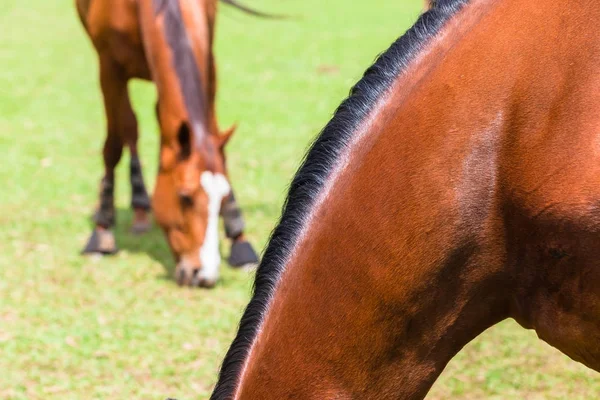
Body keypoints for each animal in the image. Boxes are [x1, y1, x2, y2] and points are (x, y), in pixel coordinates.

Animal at [76, 0, 266, 286]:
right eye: (185, 197)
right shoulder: (109, 67)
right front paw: (101, 233)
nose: (204, 275)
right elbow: (114, 145)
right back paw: (139, 208)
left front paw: (239, 241)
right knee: (130, 129)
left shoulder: (208, 61)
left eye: (222, 197)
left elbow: (213, 140)